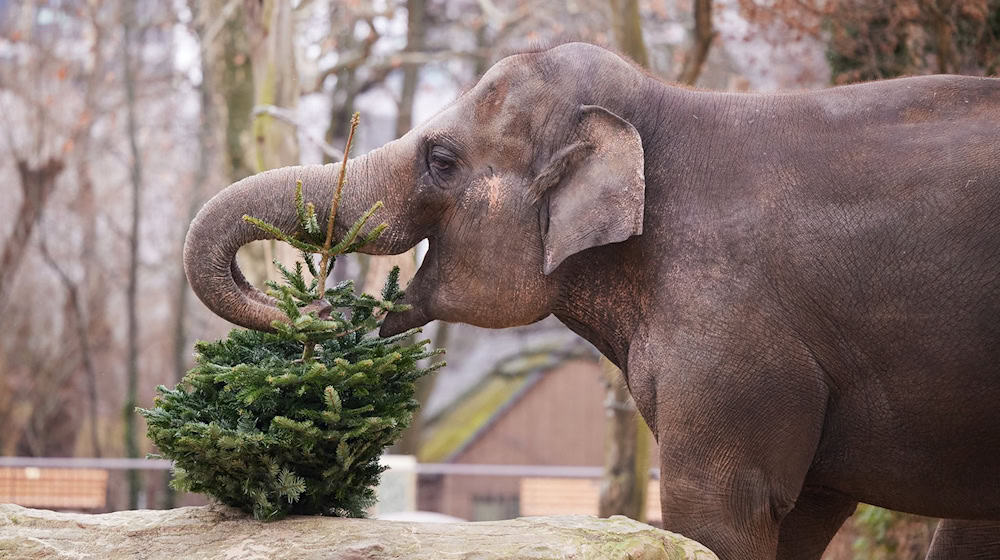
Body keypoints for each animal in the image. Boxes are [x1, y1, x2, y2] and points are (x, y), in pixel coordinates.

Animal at [186, 41, 1000, 556]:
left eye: (441, 159)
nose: (322, 311)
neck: (668, 107)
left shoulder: (736, 335)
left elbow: (717, 512)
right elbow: (804, 511)